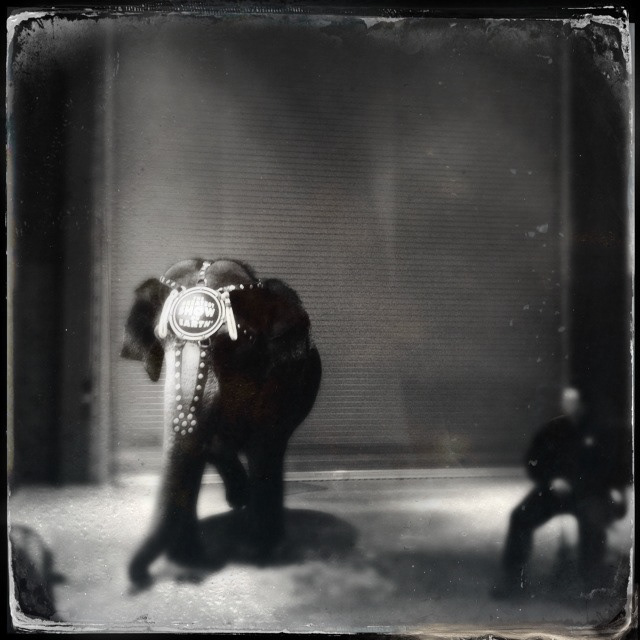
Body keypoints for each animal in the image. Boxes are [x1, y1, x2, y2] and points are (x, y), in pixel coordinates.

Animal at [121, 258, 322, 586]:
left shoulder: (279, 382)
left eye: (235, 342)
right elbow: (195, 449)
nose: (144, 579)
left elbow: (264, 448)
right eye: (161, 339)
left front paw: (261, 551)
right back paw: (238, 498)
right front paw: (189, 559)